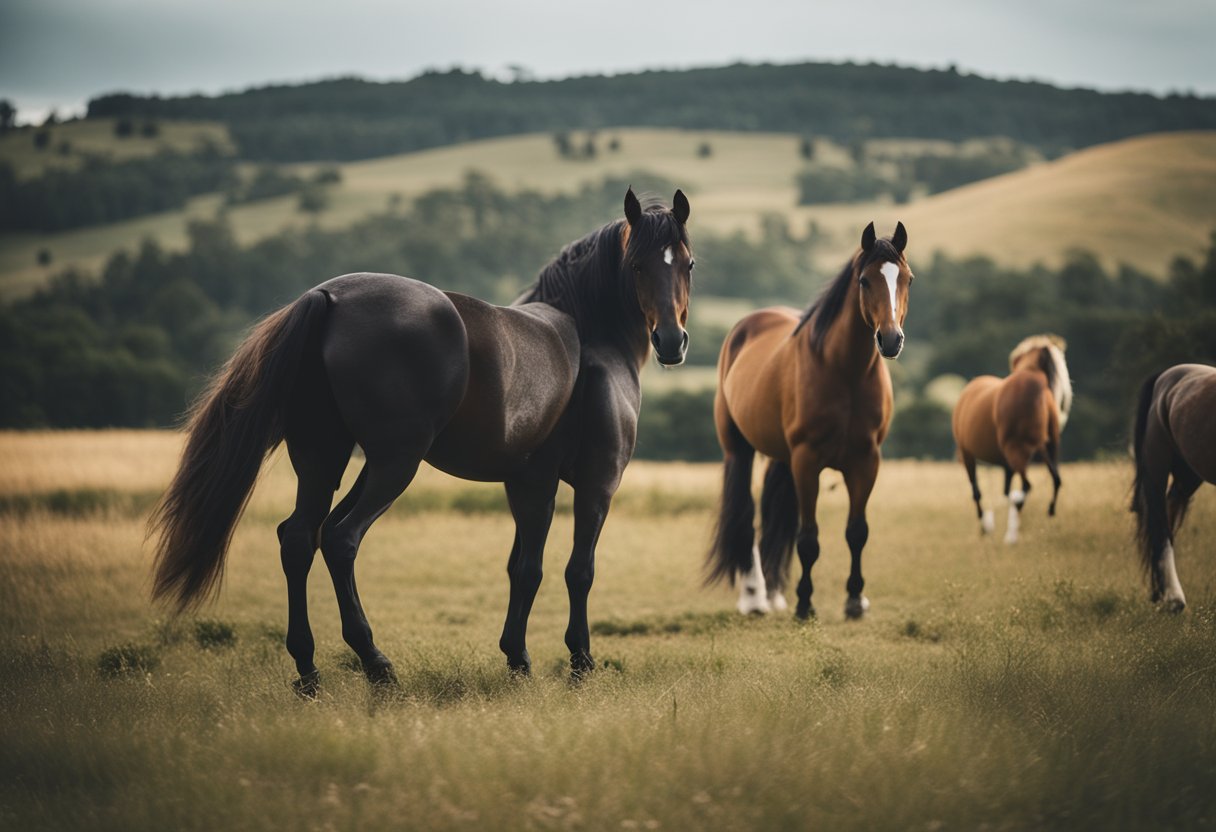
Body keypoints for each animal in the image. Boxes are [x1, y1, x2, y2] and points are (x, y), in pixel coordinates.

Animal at [150, 187, 694, 692]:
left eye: (687, 263)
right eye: (638, 265)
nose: (672, 341)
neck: (589, 334)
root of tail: (328, 297)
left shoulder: (526, 482)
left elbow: (522, 567)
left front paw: (516, 658)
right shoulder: (595, 484)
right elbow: (573, 570)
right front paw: (578, 662)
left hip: (325, 460)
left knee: (299, 538)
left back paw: (308, 671)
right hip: (396, 464)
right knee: (341, 539)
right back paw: (376, 664)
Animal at [705, 221, 913, 620]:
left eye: (908, 278)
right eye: (864, 280)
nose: (891, 340)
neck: (844, 372)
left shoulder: (866, 461)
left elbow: (856, 532)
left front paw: (855, 600)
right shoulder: (807, 461)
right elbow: (808, 538)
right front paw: (805, 604)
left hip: (782, 458)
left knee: (773, 518)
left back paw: (772, 593)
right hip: (740, 451)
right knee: (745, 516)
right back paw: (754, 596)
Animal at [952, 335, 1071, 544]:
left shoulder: (968, 454)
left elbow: (979, 492)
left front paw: (987, 525)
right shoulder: (1007, 464)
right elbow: (1006, 492)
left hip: (1016, 452)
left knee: (1025, 486)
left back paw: (1010, 532)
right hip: (1047, 448)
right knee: (1055, 480)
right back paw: (1047, 512)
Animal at [1131, 363, 1216, 612]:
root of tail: (1163, 377)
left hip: (1188, 476)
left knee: (1168, 514)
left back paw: (1160, 592)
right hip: (1156, 467)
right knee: (1160, 527)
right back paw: (1173, 599)